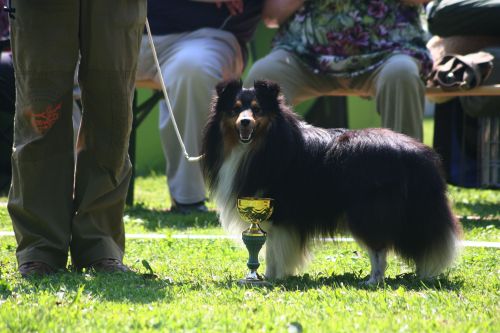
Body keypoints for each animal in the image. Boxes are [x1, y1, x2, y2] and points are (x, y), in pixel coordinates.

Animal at [201, 80, 462, 282]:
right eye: (235, 110)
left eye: (257, 109)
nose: (245, 122)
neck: (260, 146)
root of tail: (418, 154)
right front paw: (268, 277)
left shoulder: (279, 213)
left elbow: (274, 249)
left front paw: (271, 278)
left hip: (367, 212)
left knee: (378, 249)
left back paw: (373, 281)